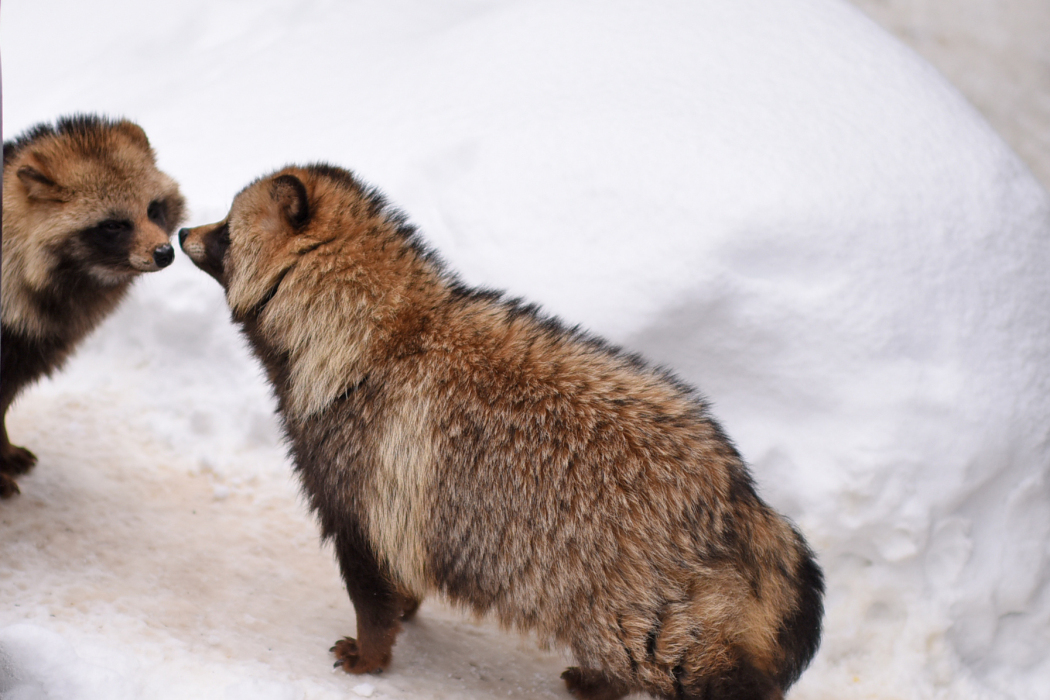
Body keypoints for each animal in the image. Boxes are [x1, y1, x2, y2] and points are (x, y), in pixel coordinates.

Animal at [178, 165, 818, 700]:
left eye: (226, 229)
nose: (182, 231)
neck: (372, 337)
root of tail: (743, 499)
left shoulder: (360, 501)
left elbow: (372, 598)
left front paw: (370, 656)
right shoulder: (397, 513)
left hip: (647, 624)